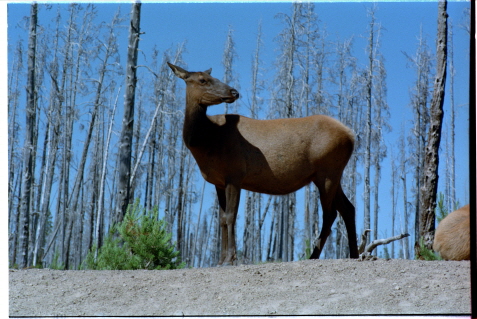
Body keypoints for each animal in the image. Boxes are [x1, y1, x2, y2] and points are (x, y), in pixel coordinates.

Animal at [167, 63, 356, 268]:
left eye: (211, 78)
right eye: (203, 80)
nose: (234, 92)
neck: (204, 141)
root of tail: (351, 135)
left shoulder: (235, 175)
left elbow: (230, 216)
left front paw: (230, 259)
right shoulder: (219, 182)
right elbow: (222, 220)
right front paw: (221, 260)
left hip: (327, 173)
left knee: (330, 214)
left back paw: (313, 256)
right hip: (331, 175)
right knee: (348, 208)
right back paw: (355, 253)